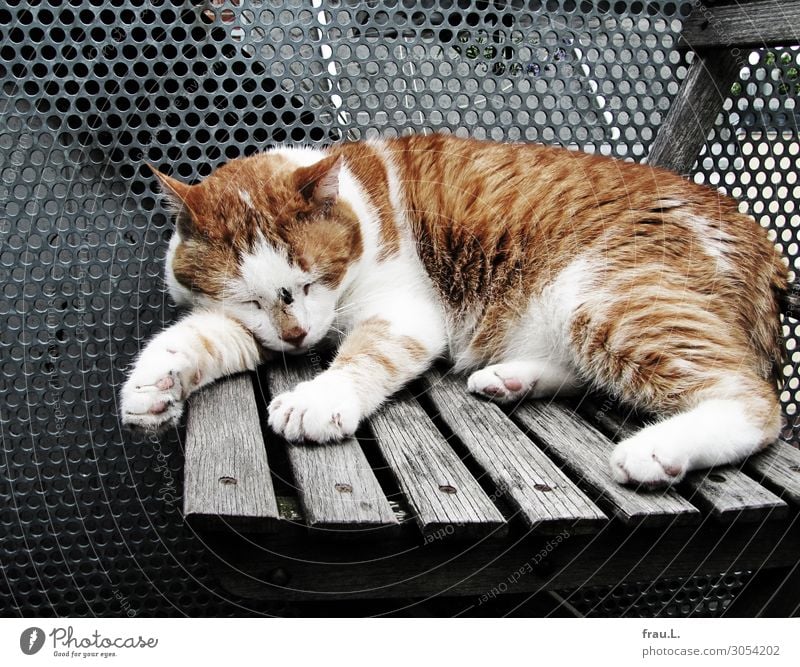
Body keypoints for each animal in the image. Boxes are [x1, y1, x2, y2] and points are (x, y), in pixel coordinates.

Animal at [122, 136, 792, 488]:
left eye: (312, 282)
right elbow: (199, 336)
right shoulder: (248, 326)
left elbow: (361, 355)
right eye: (249, 298)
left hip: (602, 295)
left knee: (757, 402)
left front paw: (319, 397)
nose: (297, 336)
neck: (364, 207)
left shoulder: (403, 315)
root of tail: (763, 247)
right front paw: (153, 385)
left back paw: (659, 447)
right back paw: (513, 379)